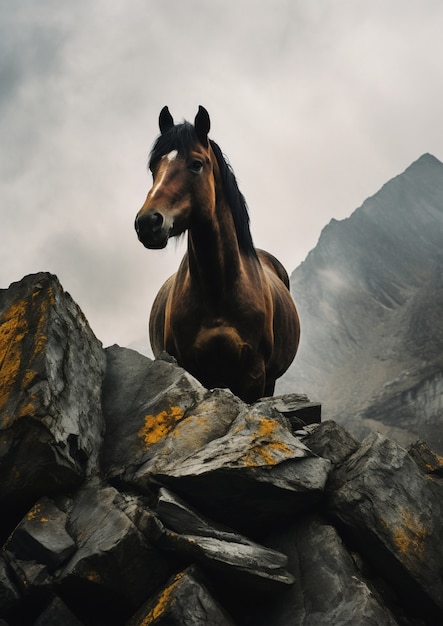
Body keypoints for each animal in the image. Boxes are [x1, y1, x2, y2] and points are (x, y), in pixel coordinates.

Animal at [135, 106, 302, 400]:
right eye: (154, 167)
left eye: (196, 164)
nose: (147, 222)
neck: (218, 290)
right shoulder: (196, 371)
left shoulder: (253, 376)